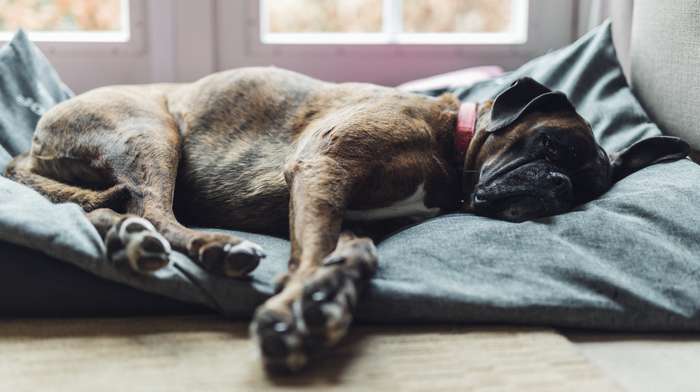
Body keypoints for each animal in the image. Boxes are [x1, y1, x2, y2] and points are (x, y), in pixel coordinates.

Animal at [2, 69, 688, 372]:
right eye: (548, 146)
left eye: (588, 189)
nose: (558, 186)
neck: (449, 146)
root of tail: (28, 147)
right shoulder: (324, 170)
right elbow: (309, 255)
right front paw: (291, 314)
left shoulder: (345, 212)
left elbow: (352, 253)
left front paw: (328, 300)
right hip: (150, 130)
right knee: (151, 208)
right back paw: (210, 246)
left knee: (107, 210)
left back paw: (130, 241)